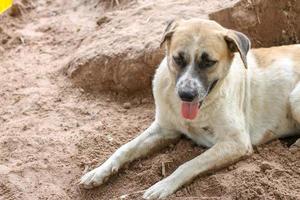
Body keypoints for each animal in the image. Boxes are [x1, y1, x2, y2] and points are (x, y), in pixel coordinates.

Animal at [79, 18, 300, 198]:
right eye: (178, 58)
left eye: (209, 62)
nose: (186, 94)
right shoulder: (164, 129)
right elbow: (125, 148)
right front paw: (98, 171)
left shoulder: (236, 142)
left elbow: (189, 164)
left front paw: (163, 185)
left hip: (294, 98)